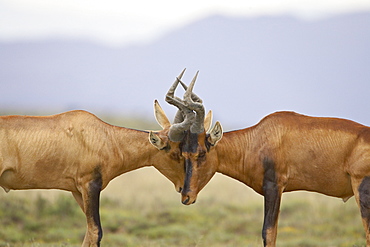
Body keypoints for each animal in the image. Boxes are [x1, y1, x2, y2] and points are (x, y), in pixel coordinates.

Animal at [0, 70, 207, 247]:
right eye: (177, 153)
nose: (186, 193)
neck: (105, 136)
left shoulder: (77, 191)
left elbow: (89, 232)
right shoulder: (90, 186)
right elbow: (96, 232)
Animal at [169, 73, 370, 247]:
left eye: (202, 153)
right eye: (183, 153)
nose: (186, 196)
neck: (260, 137)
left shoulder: (274, 187)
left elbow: (269, 232)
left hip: (362, 189)